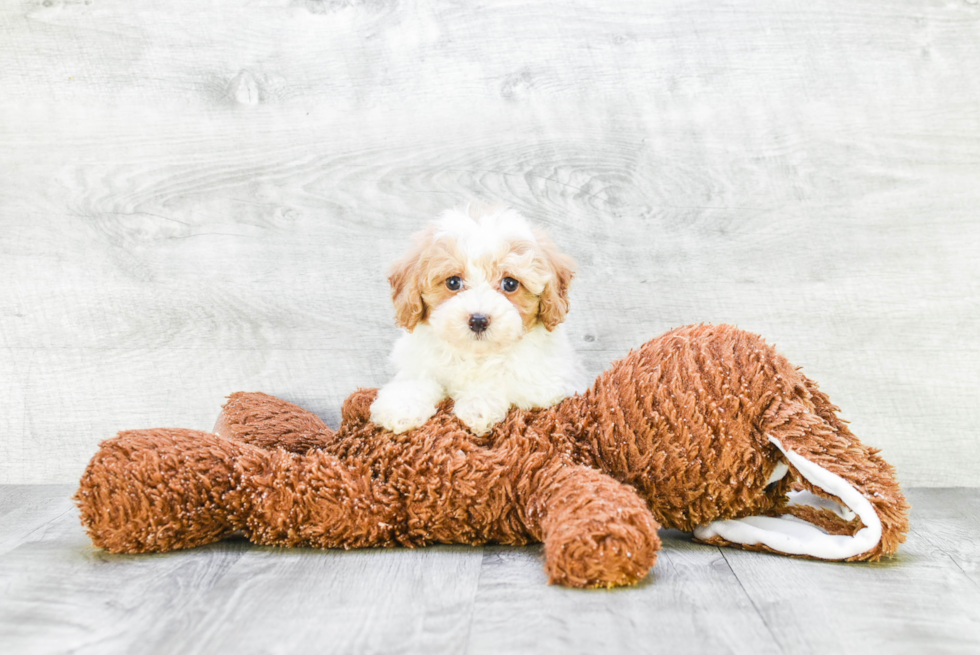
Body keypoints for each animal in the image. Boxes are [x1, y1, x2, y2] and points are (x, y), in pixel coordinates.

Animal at [370, 205, 584, 436]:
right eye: (453, 282)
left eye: (510, 284)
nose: (478, 321)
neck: (476, 354)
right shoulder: (418, 362)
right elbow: (417, 380)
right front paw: (402, 406)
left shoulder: (550, 381)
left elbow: (505, 380)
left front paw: (478, 405)